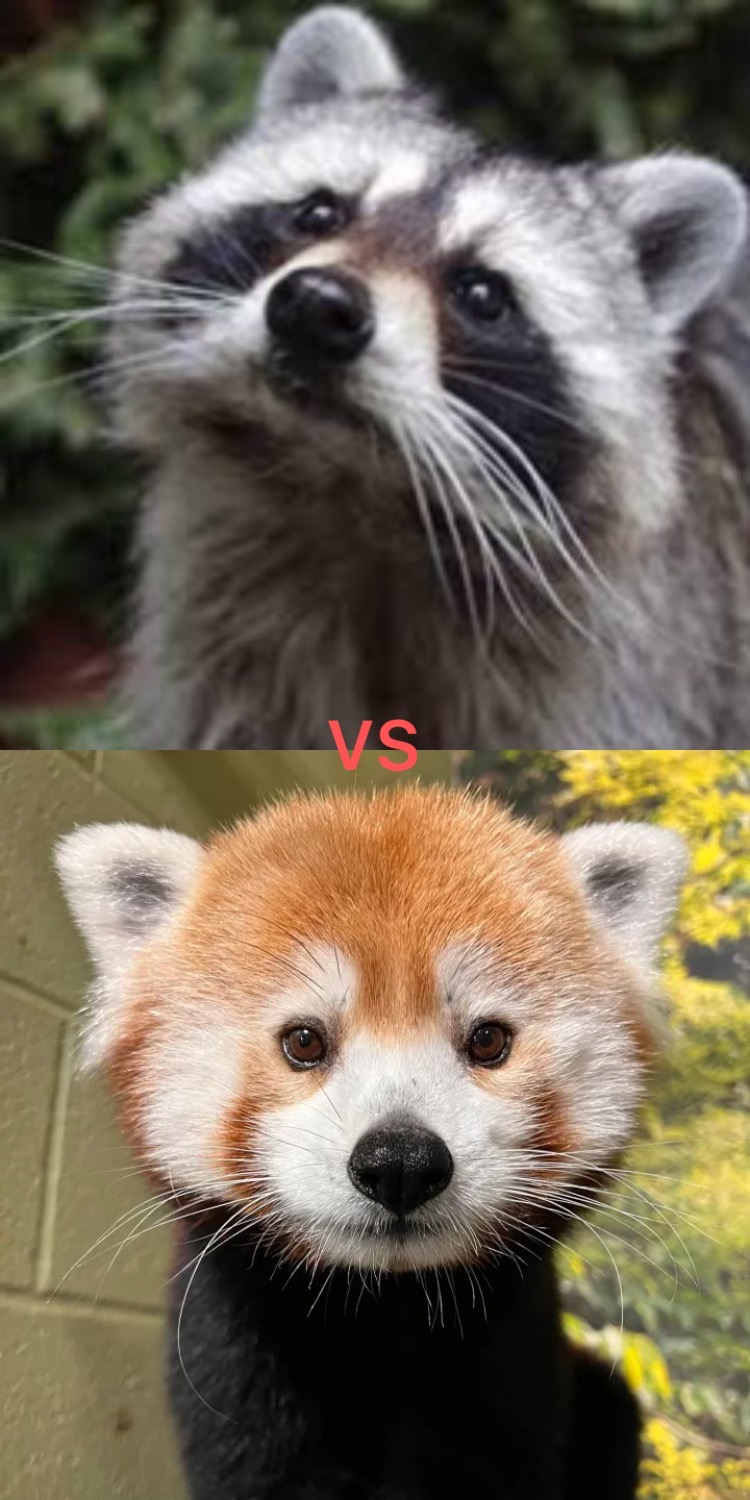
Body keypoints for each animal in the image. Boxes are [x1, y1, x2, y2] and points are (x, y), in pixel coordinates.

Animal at [55, 785, 688, 1500]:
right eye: (304, 1041)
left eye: (488, 1040)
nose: (402, 1163)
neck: (382, 1306)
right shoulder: (230, 1353)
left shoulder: (513, 1360)